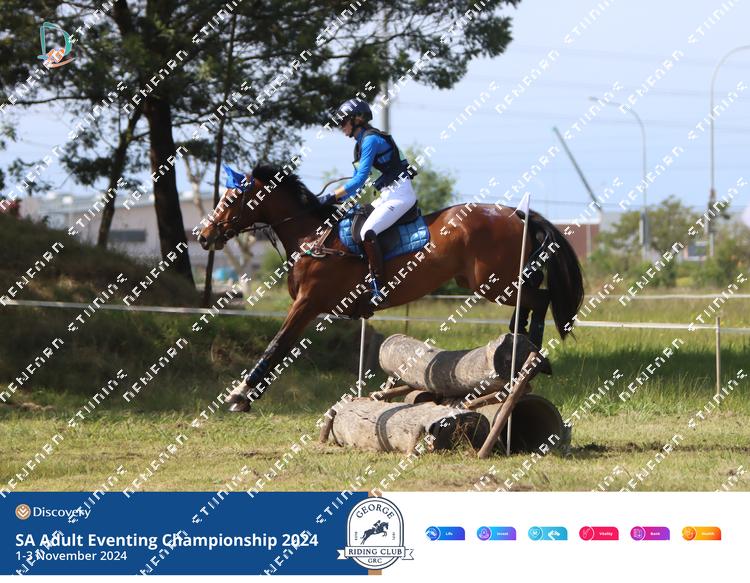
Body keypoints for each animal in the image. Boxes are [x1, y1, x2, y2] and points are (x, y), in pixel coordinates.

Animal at [197, 164, 584, 412]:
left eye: (230, 199)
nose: (203, 236)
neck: (313, 235)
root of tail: (516, 213)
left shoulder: (307, 304)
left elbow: (276, 346)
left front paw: (240, 395)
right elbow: (281, 348)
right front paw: (248, 393)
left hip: (494, 283)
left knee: (541, 298)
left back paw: (529, 352)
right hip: (498, 279)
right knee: (532, 299)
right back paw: (519, 347)